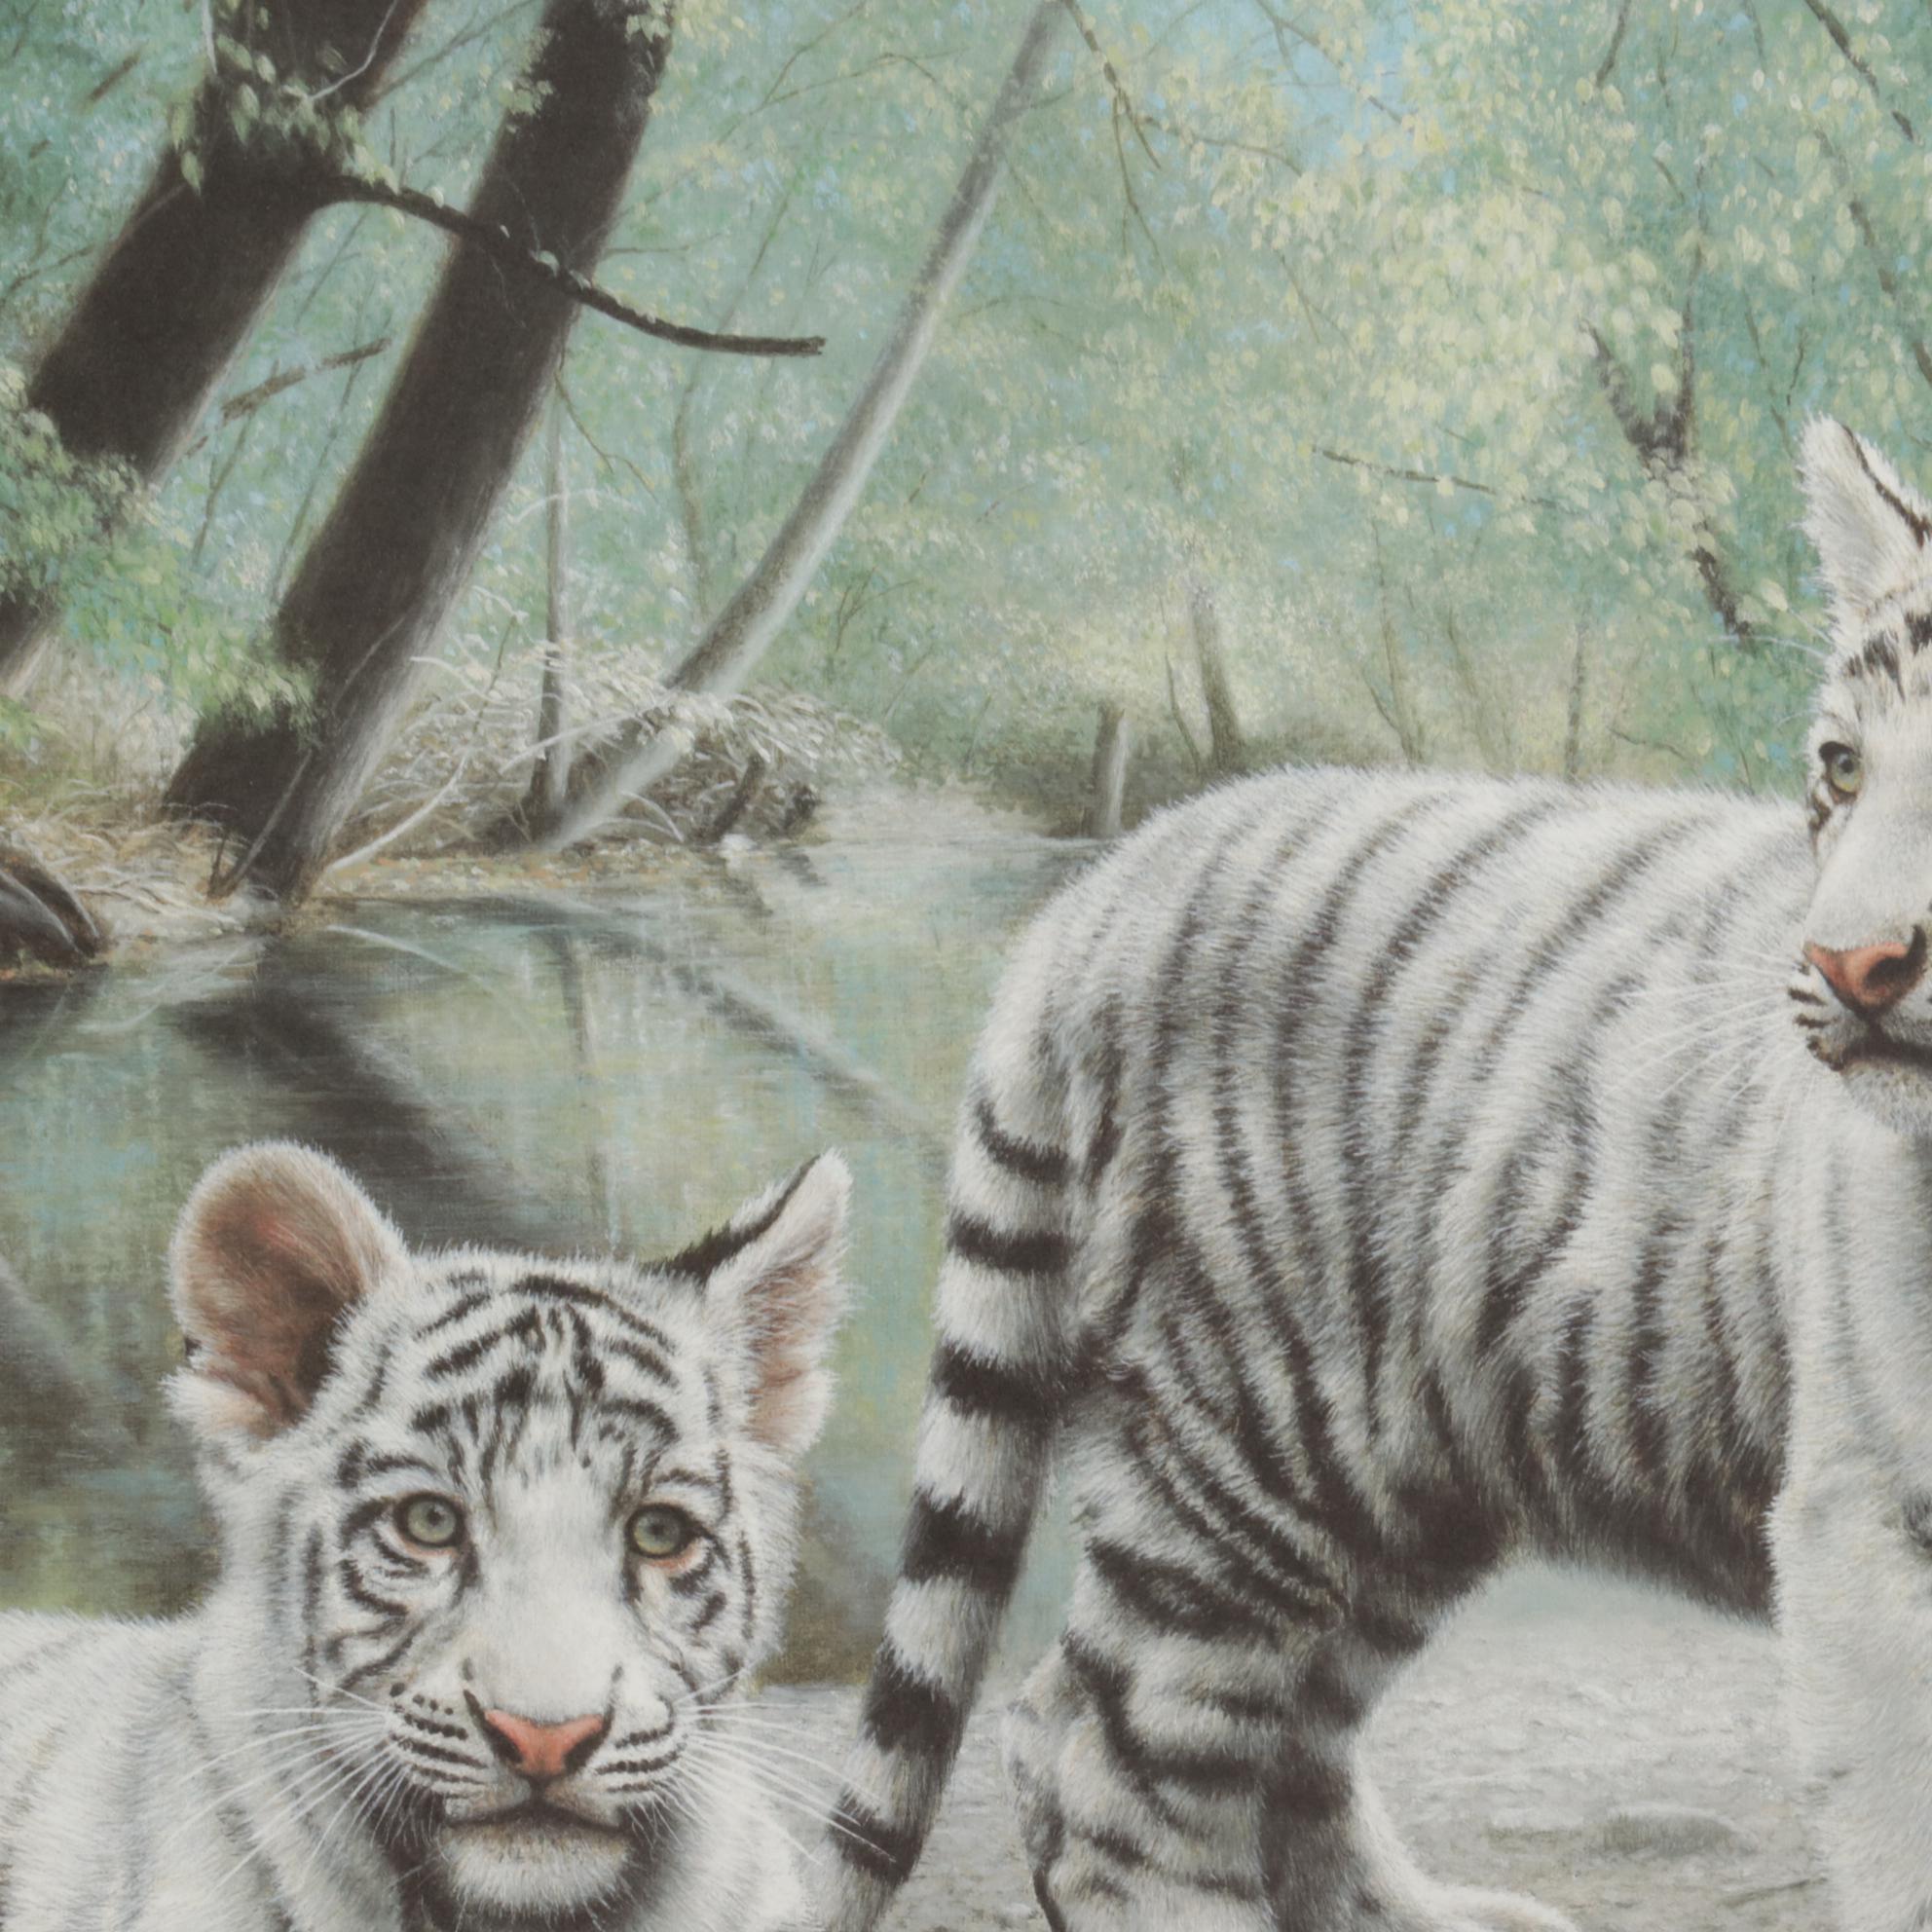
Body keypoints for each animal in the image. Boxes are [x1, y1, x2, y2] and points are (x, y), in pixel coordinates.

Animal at [814, 418, 1932, 1932]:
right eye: (1843, 767)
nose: (1849, 966)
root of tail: (1100, 887)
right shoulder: (1864, 1516)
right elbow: (1902, 1838)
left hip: (1404, 1478)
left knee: (1244, 1730)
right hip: (1249, 1457)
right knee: (1115, 1755)